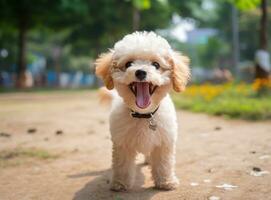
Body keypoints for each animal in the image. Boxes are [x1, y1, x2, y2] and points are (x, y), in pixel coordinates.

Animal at [96, 31, 191, 192]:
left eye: (156, 65)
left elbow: (163, 164)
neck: (144, 115)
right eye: (128, 64)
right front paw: (120, 183)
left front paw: (166, 182)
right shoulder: (122, 143)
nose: (140, 72)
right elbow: (122, 165)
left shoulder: (164, 142)